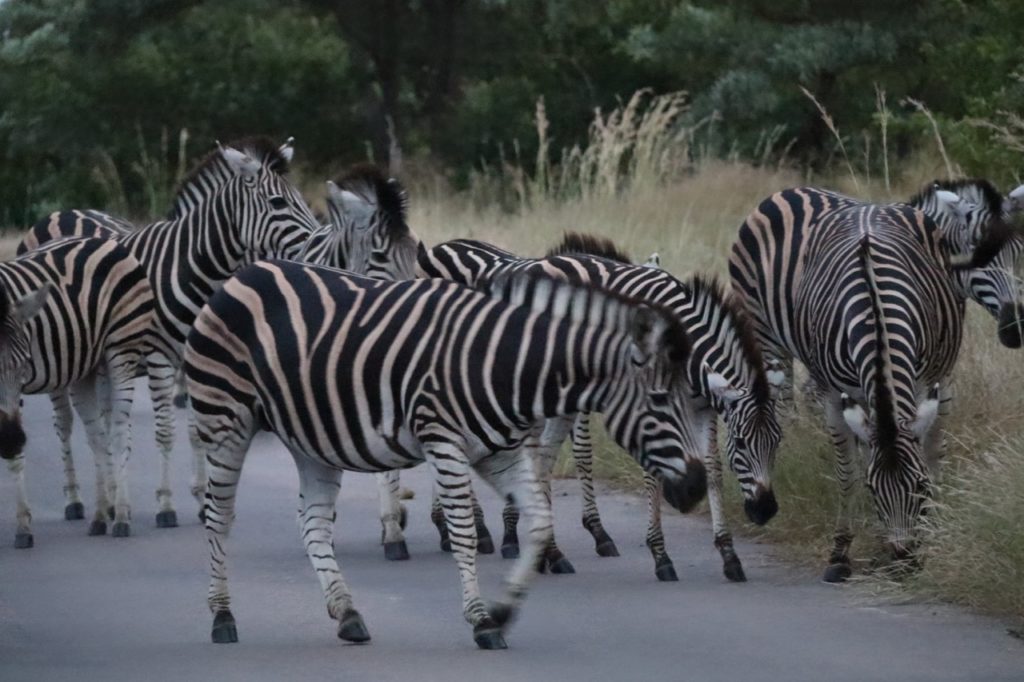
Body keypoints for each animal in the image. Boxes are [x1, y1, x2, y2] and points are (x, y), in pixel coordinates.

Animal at [0, 236, 153, 544]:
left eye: (24, 365)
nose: (10, 441)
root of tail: (107, 242)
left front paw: (23, 526)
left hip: (122, 347)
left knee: (119, 433)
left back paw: (120, 516)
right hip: (88, 367)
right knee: (98, 437)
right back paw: (101, 515)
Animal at [17, 134, 315, 532]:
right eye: (278, 202)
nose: (316, 243)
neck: (190, 268)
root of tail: (59, 213)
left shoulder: (193, 360)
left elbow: (194, 431)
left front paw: (203, 501)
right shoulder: (160, 358)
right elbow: (165, 432)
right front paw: (166, 504)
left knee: (107, 424)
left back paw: (112, 500)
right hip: (60, 353)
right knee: (63, 424)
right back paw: (75, 500)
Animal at [186, 258, 704, 647]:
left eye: (690, 399)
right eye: (660, 400)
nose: (696, 490)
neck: (507, 362)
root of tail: (243, 272)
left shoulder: (499, 452)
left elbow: (539, 522)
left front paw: (504, 608)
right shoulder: (444, 440)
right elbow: (464, 531)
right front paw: (480, 619)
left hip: (310, 437)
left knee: (312, 521)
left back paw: (347, 613)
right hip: (225, 417)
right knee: (218, 516)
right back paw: (222, 617)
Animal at [415, 232, 782, 577]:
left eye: (777, 443)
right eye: (742, 443)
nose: (765, 510)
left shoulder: (702, 408)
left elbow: (714, 470)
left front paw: (728, 554)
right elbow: (644, 469)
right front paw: (660, 555)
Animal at [733, 187, 1011, 577]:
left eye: (919, 486)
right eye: (873, 488)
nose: (904, 560)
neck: (876, 313)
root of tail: (784, 192)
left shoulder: (922, 384)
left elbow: (925, 453)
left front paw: (922, 535)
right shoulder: (834, 393)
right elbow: (847, 470)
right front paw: (842, 551)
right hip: (766, 337)